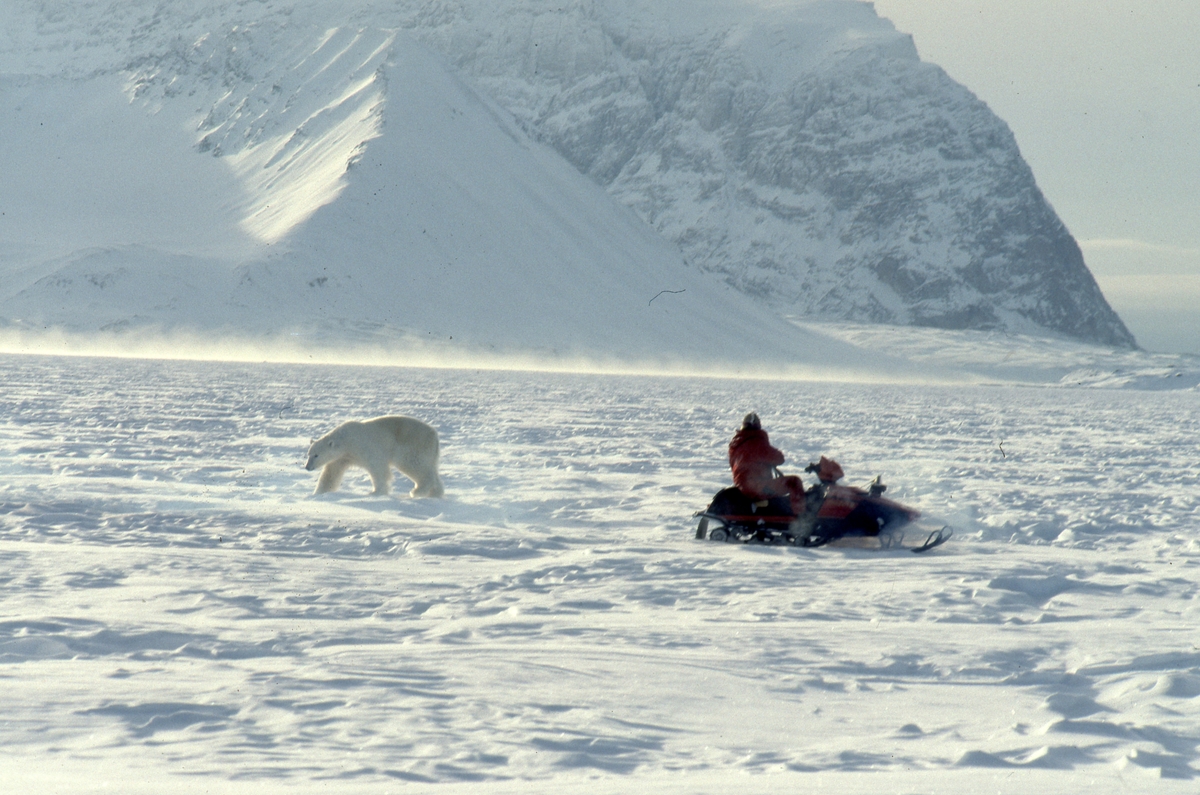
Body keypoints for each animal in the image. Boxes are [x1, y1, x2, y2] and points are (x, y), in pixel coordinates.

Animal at [304, 417, 446, 499]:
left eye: (316, 455)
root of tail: (435, 436)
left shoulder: (366, 447)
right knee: (432, 470)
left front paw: (376, 492)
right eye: (309, 454)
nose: (307, 467)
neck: (346, 441)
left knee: (415, 465)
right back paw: (435, 494)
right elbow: (331, 473)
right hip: (430, 453)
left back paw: (416, 492)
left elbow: (378, 468)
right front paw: (318, 493)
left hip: (413, 446)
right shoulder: (343, 457)